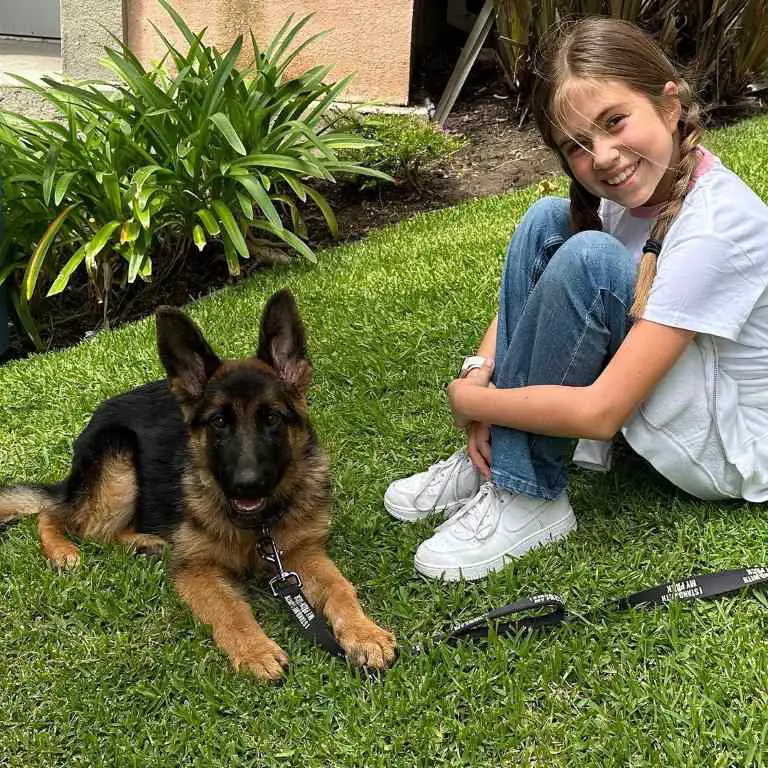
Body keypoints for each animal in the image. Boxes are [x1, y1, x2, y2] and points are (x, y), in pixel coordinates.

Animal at [0, 292, 396, 680]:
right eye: (219, 422)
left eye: (271, 418)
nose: (246, 486)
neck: (255, 528)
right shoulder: (196, 568)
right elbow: (229, 610)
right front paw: (255, 650)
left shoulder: (300, 553)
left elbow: (339, 587)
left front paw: (365, 633)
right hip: (117, 465)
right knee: (62, 515)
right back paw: (64, 551)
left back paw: (142, 543)